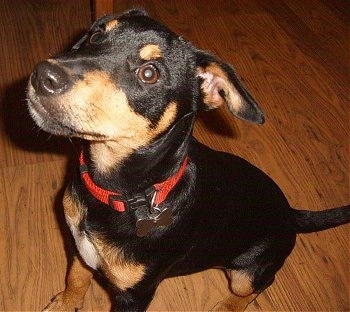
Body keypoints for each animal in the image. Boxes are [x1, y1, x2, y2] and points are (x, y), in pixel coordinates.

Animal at [28, 9, 350, 312]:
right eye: (96, 36)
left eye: (149, 74)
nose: (43, 75)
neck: (116, 192)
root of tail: (291, 214)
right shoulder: (79, 247)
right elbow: (76, 278)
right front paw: (64, 303)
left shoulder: (136, 293)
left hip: (247, 273)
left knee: (257, 286)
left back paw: (227, 307)